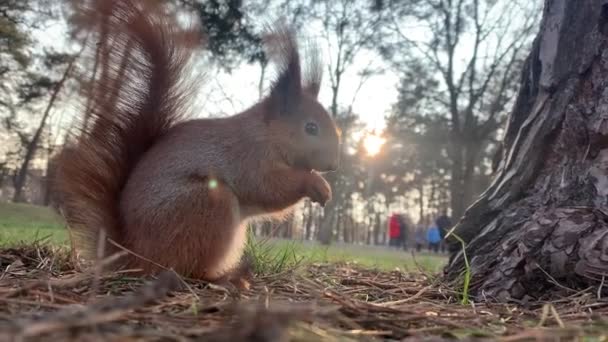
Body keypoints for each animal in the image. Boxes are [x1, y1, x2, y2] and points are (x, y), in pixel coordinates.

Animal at [52, 0, 342, 284]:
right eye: (311, 128)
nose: (334, 165)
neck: (267, 134)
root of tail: (133, 255)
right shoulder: (248, 157)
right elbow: (269, 187)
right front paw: (316, 183)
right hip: (207, 205)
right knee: (186, 269)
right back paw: (225, 277)